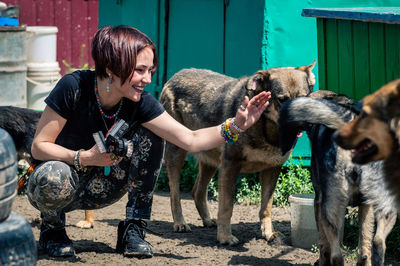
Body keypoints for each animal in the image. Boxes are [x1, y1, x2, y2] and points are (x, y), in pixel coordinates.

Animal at [159, 60, 316, 245]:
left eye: (304, 98)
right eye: (282, 100)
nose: (301, 125)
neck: (266, 130)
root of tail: (175, 75)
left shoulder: (272, 169)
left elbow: (266, 207)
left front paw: (269, 234)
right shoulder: (230, 165)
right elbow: (226, 206)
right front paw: (225, 237)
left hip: (210, 162)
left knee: (197, 192)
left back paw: (208, 220)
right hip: (176, 154)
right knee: (174, 193)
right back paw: (180, 223)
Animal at [280, 90, 398, 264]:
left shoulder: (318, 202)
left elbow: (323, 245)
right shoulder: (367, 206)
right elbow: (365, 244)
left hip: (330, 211)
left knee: (337, 255)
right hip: (387, 208)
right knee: (375, 244)